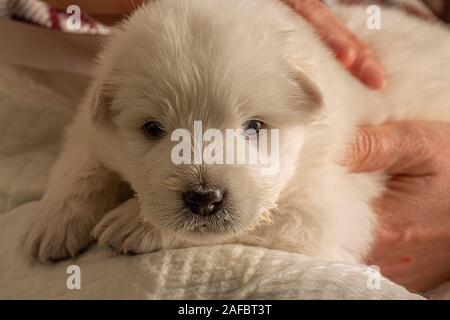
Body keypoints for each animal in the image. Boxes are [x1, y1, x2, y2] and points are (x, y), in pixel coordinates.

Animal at [23, 0, 450, 262]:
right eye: (153, 128)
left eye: (255, 126)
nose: (204, 198)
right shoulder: (88, 125)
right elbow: (82, 165)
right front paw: (52, 224)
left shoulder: (331, 205)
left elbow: (264, 218)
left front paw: (131, 223)